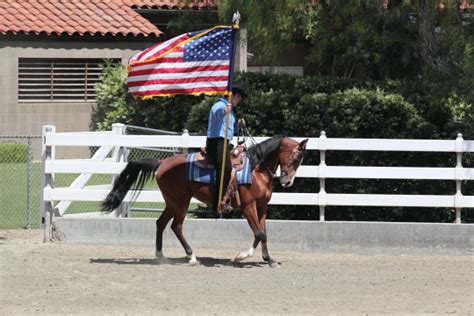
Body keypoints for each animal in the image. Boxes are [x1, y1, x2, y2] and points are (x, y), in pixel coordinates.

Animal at [101, 135, 308, 268]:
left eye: (300, 159)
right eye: (295, 157)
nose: (287, 181)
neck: (256, 170)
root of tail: (162, 163)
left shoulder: (262, 207)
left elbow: (264, 233)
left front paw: (269, 259)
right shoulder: (248, 207)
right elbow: (259, 233)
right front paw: (242, 256)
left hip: (172, 202)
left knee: (161, 223)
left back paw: (161, 256)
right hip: (181, 201)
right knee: (176, 226)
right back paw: (191, 256)